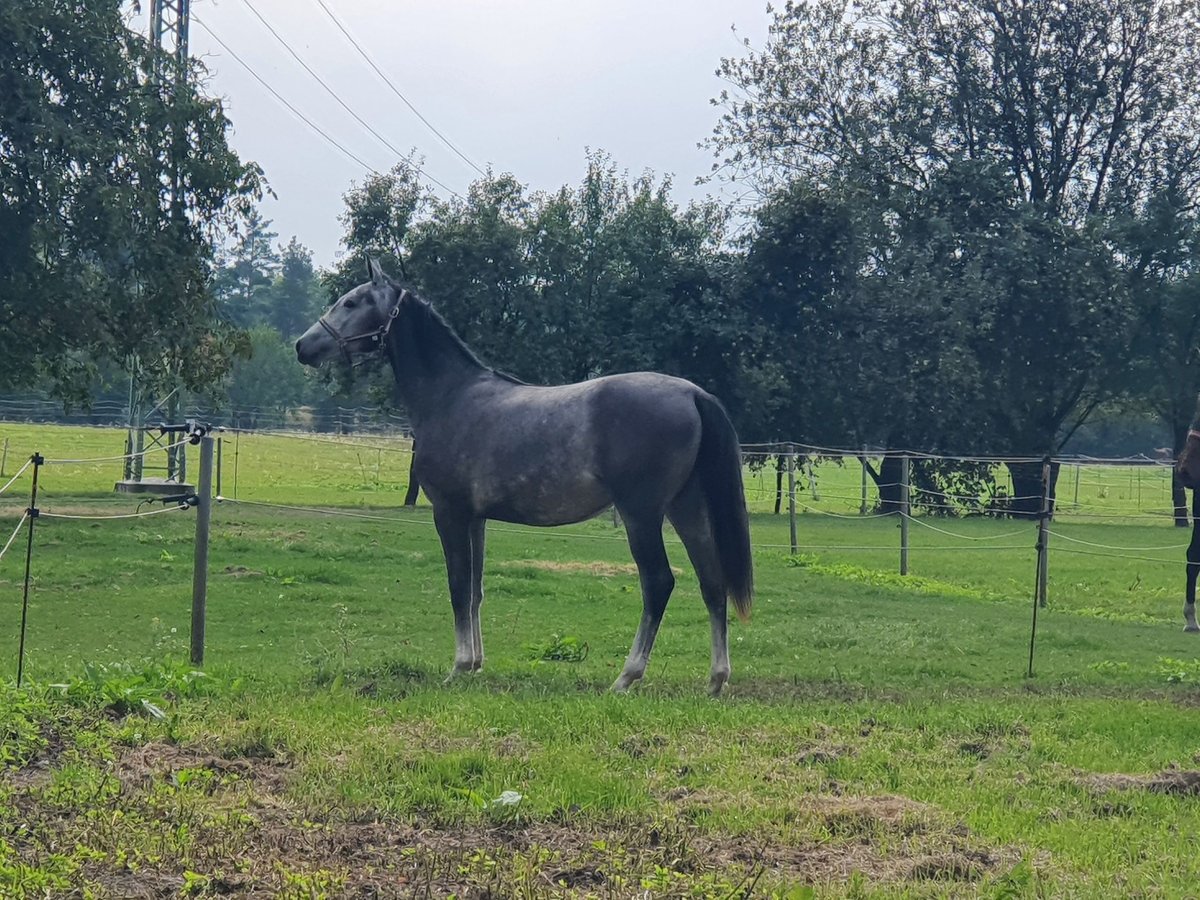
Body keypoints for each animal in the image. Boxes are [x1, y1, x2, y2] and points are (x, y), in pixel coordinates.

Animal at [295, 259, 754, 695]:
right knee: (712, 582)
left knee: (658, 583)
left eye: (351, 302)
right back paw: (716, 678)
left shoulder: (449, 512)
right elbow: (476, 589)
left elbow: (458, 585)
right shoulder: (476, 519)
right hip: (686, 508)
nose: (303, 346)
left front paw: (458, 667)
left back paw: (627, 677)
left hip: (642, 514)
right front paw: (476, 664)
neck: (451, 397)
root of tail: (693, 393)